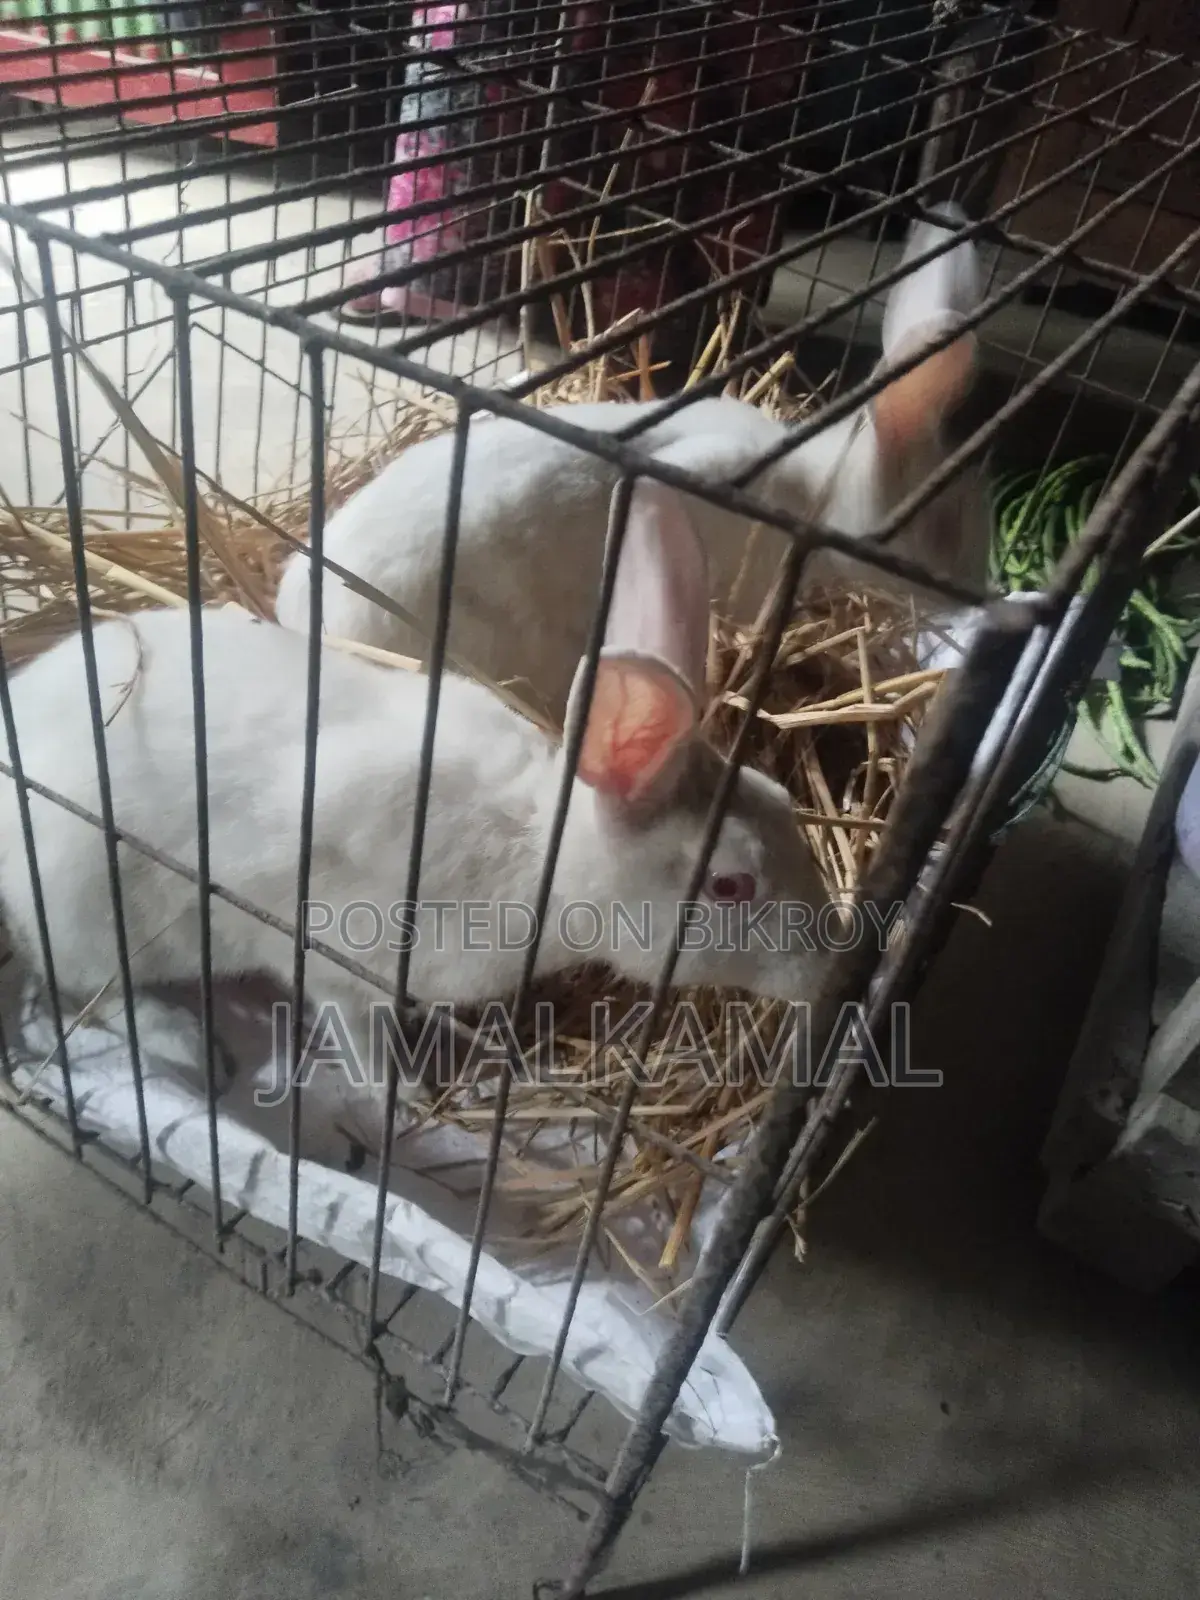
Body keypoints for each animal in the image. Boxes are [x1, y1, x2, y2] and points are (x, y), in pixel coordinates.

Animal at [0, 480, 831, 1104]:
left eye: (779, 797)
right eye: (730, 885)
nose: (832, 962)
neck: (544, 857)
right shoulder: (338, 960)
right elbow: (359, 1036)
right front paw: (404, 1097)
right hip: (90, 911)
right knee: (86, 992)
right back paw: (183, 1044)